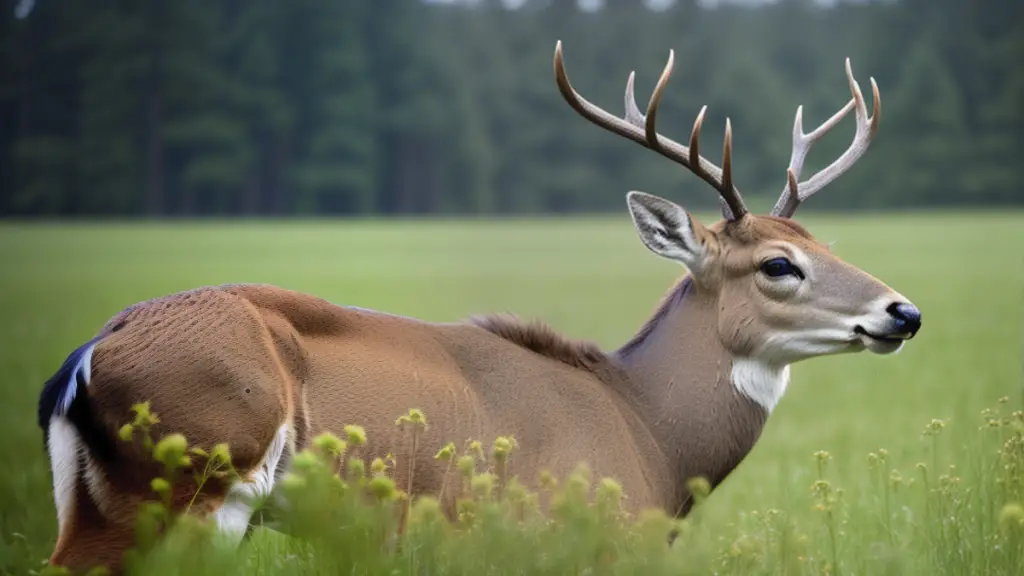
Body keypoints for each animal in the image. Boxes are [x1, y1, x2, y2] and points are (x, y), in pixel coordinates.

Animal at [37, 40, 921, 569]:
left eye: (828, 244)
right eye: (778, 264)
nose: (903, 313)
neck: (648, 435)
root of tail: (86, 356)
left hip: (102, 498)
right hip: (192, 479)